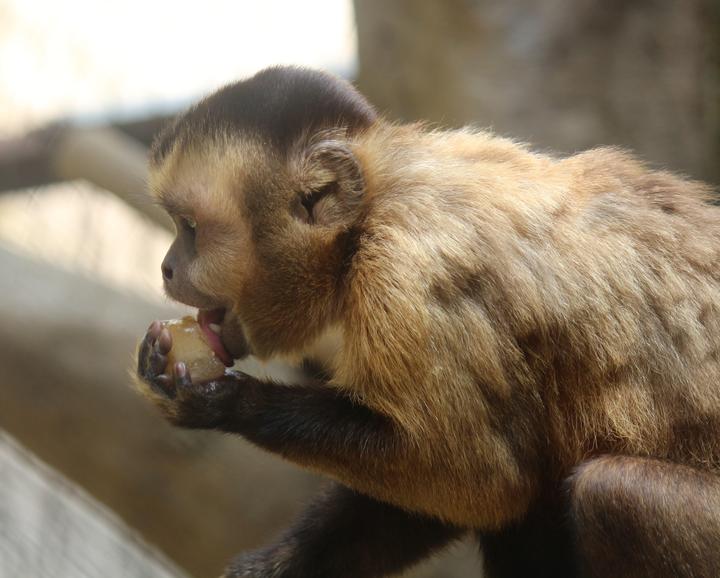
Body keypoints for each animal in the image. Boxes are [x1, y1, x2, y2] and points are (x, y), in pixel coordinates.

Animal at [135, 65, 720, 572]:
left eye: (190, 229)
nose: (165, 266)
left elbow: (484, 480)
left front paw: (224, 402)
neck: (374, 206)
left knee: (610, 498)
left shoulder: (410, 278)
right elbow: (477, 492)